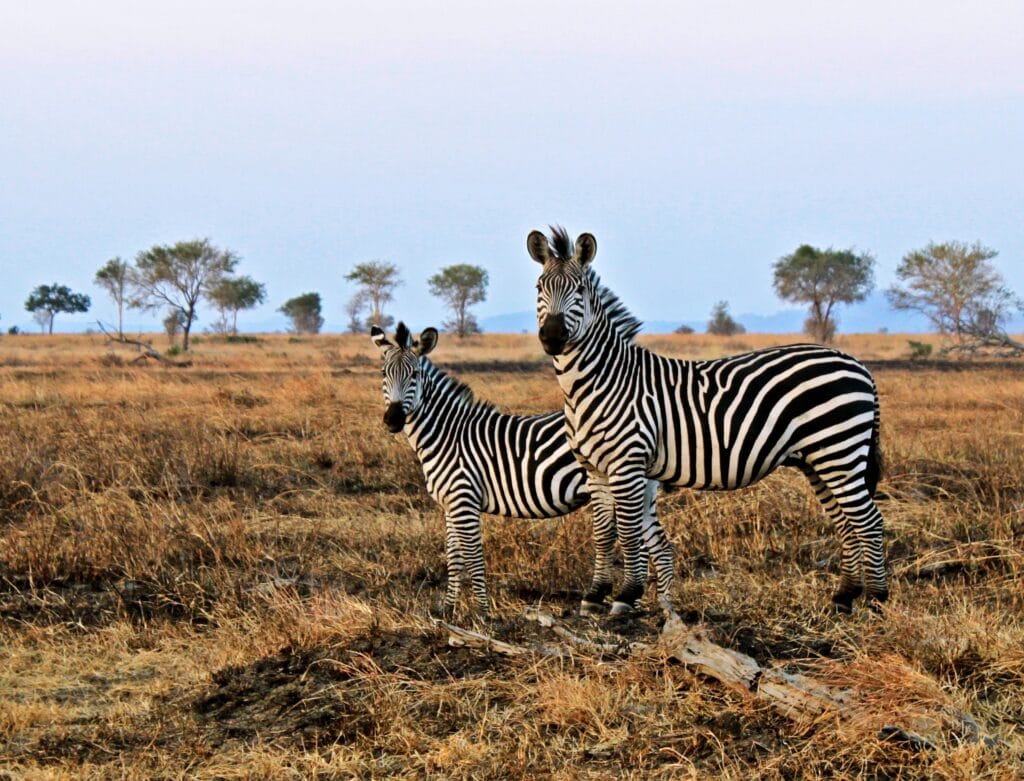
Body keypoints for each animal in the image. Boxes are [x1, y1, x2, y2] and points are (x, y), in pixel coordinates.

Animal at [372, 321, 659, 614]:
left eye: (415, 374)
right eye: (384, 373)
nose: (393, 420)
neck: (447, 434)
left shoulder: (465, 500)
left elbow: (473, 556)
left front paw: (482, 611)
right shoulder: (450, 505)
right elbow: (454, 557)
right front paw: (449, 608)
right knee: (653, 543)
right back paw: (642, 605)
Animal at [528, 226, 888, 618]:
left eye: (579, 289)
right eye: (539, 287)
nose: (552, 337)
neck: (597, 382)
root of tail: (856, 364)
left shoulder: (628, 463)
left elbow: (627, 531)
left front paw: (626, 595)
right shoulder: (594, 469)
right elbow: (602, 533)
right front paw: (595, 595)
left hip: (839, 451)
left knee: (869, 521)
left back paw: (877, 600)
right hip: (820, 460)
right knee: (846, 521)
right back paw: (844, 596)